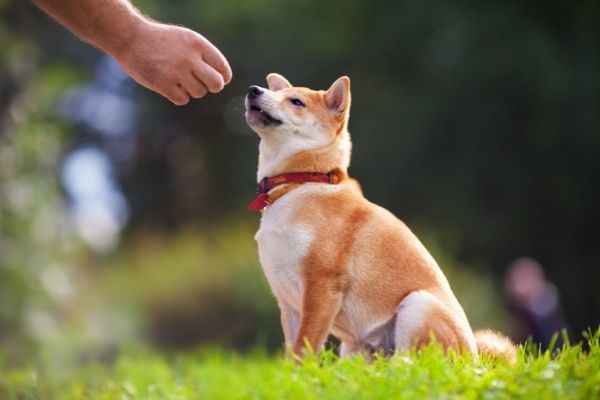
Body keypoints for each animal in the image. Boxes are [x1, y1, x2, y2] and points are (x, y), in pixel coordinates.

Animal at [244, 73, 516, 364]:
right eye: (276, 92)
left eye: (296, 101)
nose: (253, 90)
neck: (300, 183)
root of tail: (474, 361)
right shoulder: (287, 300)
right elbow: (292, 350)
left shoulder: (322, 285)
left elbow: (304, 347)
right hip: (354, 348)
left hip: (417, 305)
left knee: (414, 363)